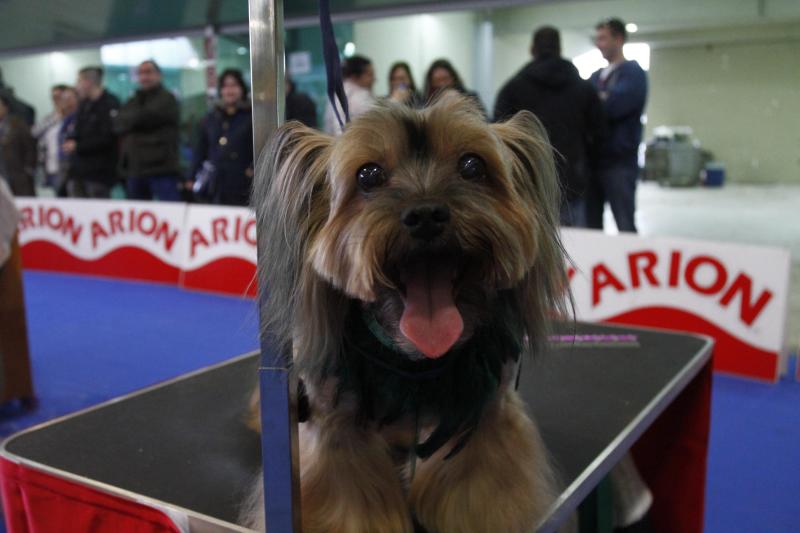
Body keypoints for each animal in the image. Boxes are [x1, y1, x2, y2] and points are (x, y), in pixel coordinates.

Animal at [245, 93, 568, 528]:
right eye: (368, 175)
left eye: (472, 165)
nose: (426, 213)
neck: (413, 356)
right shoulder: (336, 428)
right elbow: (347, 500)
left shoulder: (484, 417)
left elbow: (481, 494)